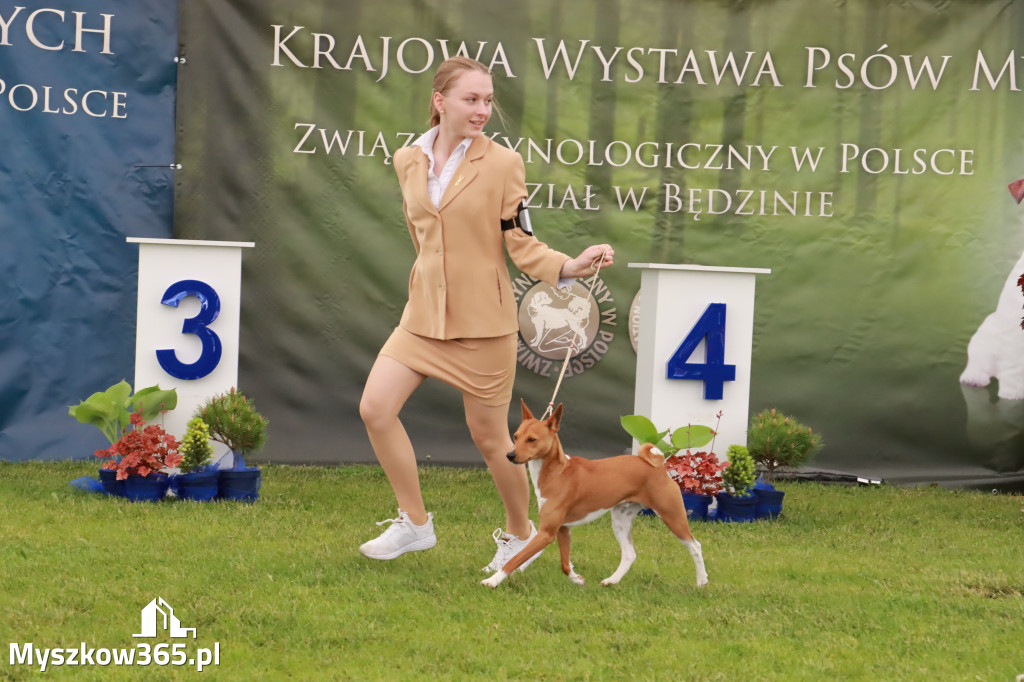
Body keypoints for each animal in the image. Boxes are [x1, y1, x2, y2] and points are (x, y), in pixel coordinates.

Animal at [477, 401, 704, 585]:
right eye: (516, 436)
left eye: (532, 439)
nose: (510, 455)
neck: (557, 473)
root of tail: (657, 467)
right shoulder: (562, 529)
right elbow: (565, 563)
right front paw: (577, 579)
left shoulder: (547, 533)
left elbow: (514, 560)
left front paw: (492, 580)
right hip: (621, 520)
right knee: (629, 554)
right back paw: (612, 581)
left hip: (672, 516)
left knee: (695, 546)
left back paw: (702, 582)